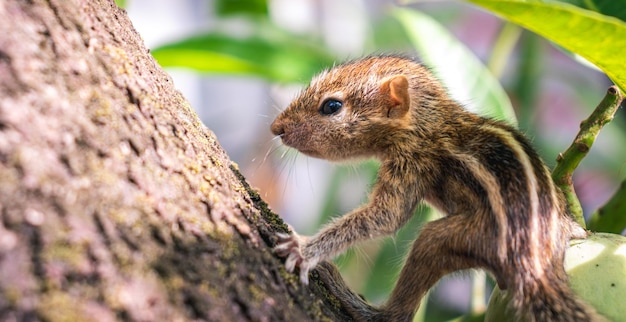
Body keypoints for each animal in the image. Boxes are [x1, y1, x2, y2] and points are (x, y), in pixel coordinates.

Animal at [270, 55, 600, 322]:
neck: (427, 121)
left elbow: (385, 216)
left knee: (400, 312)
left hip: (451, 238)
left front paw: (304, 249)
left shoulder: (412, 161)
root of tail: (534, 264)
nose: (276, 128)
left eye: (331, 106)